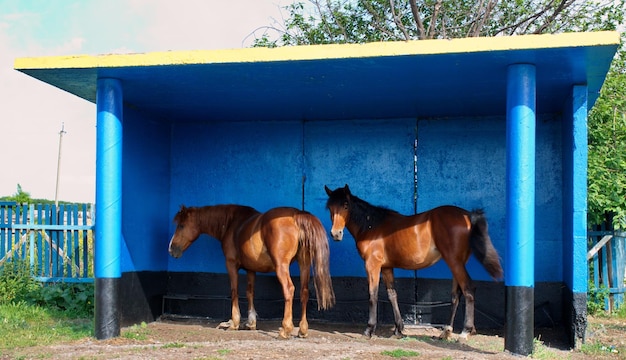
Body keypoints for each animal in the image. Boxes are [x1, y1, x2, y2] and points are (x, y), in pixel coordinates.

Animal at [165, 204, 332, 338]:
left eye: (181, 225)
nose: (171, 249)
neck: (232, 223)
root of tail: (297, 214)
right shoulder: (251, 269)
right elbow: (250, 292)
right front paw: (251, 322)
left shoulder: (231, 264)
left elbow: (234, 291)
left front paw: (234, 323)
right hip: (304, 264)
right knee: (304, 292)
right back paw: (302, 330)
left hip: (282, 266)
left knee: (289, 289)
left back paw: (285, 329)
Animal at [324, 186, 500, 340]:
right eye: (329, 207)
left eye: (345, 205)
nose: (336, 234)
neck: (371, 225)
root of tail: (468, 216)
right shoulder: (387, 267)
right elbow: (392, 295)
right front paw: (398, 329)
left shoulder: (372, 265)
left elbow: (372, 295)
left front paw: (369, 329)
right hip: (457, 263)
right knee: (456, 294)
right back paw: (446, 331)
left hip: (455, 262)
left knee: (468, 289)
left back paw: (465, 331)